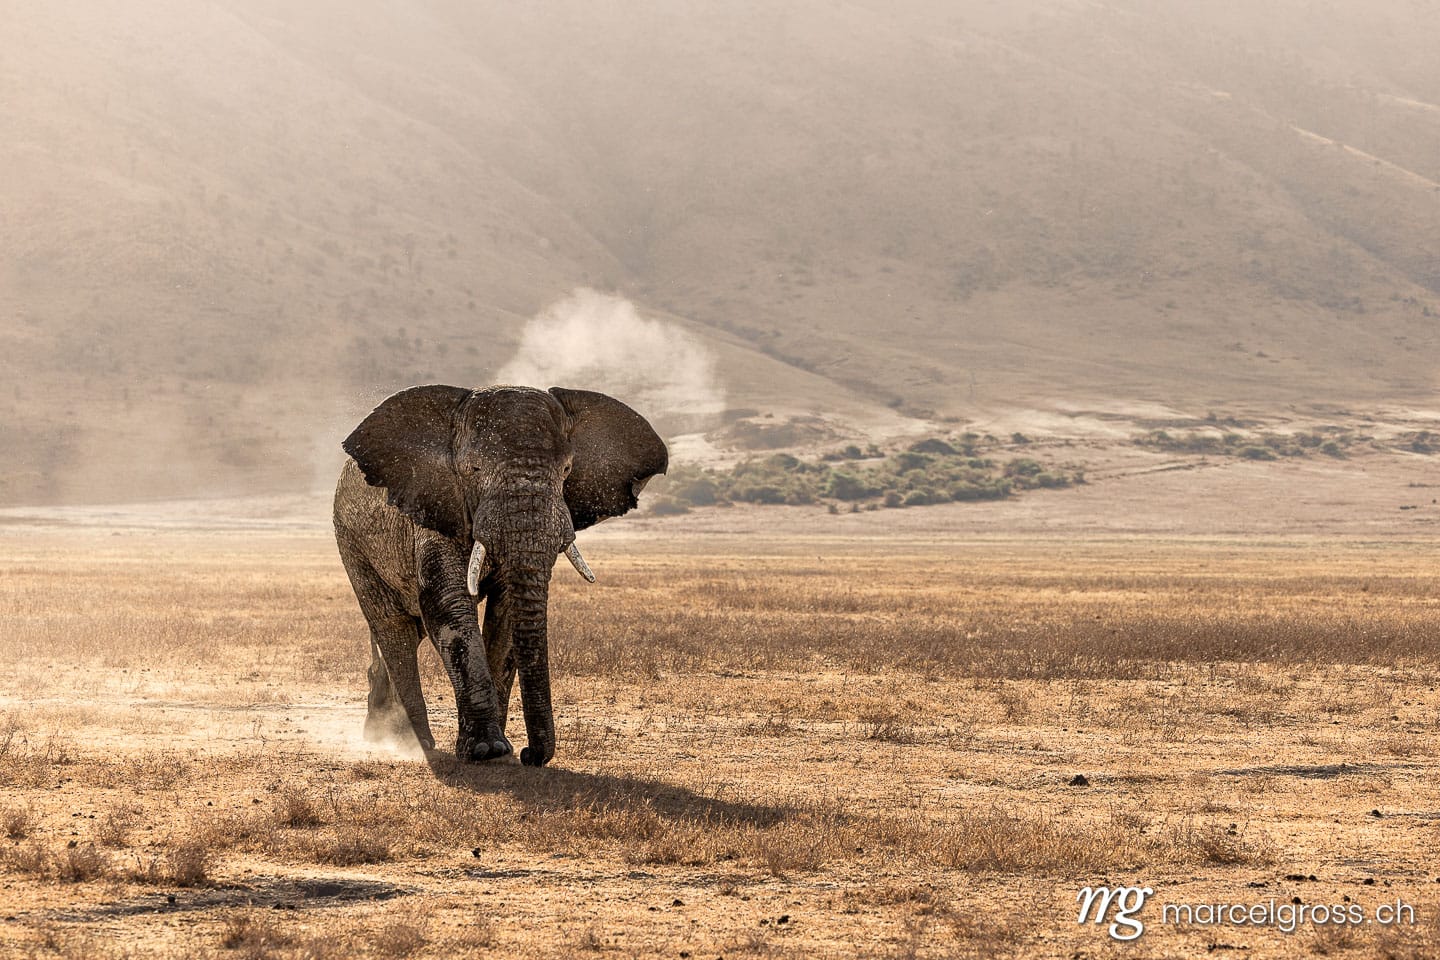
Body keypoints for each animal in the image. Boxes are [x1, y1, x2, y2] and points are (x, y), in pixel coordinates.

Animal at [332, 384, 667, 767]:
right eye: (473, 468)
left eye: (567, 469)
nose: (530, 755)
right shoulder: (434, 508)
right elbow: (449, 607)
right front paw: (485, 750)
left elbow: (507, 614)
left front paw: (500, 749)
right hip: (351, 542)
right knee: (393, 628)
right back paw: (415, 744)